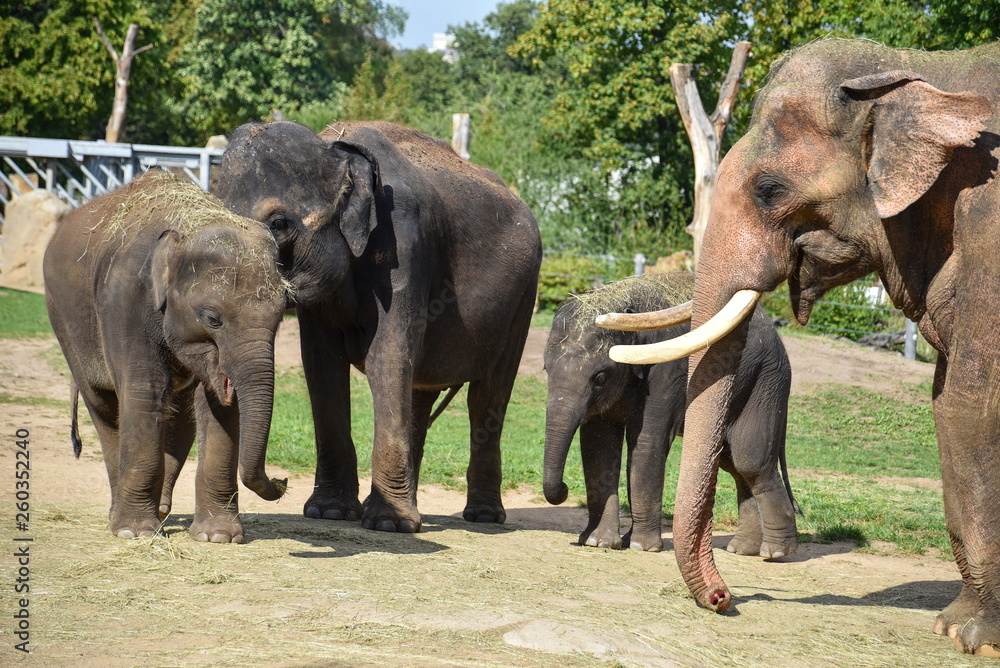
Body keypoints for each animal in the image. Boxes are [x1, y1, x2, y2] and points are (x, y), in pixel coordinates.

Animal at [44, 171, 290, 543]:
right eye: (212, 318)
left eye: (280, 316)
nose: (282, 481)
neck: (190, 222)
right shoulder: (125, 299)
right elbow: (144, 391)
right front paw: (135, 533)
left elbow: (218, 409)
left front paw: (218, 538)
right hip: (63, 317)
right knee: (103, 406)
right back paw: (123, 518)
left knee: (180, 415)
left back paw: (159, 511)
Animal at [214, 120, 542, 533]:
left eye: (278, 224)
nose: (281, 481)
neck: (335, 148)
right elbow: (321, 366)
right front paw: (330, 512)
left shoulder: (404, 244)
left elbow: (385, 356)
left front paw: (387, 523)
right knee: (420, 393)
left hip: (523, 299)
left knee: (488, 396)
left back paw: (482, 516)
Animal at [543, 272, 798, 555]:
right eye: (545, 369)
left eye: (599, 378)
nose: (564, 488)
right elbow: (598, 447)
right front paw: (597, 542)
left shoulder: (668, 371)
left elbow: (647, 444)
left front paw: (641, 547)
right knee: (732, 463)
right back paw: (743, 549)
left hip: (766, 380)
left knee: (749, 461)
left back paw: (776, 552)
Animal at [604, 39, 1000, 656]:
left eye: (770, 190)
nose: (724, 598)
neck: (923, 67)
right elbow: (943, 406)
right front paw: (949, 626)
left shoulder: (989, 227)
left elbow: (969, 407)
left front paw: (975, 638)